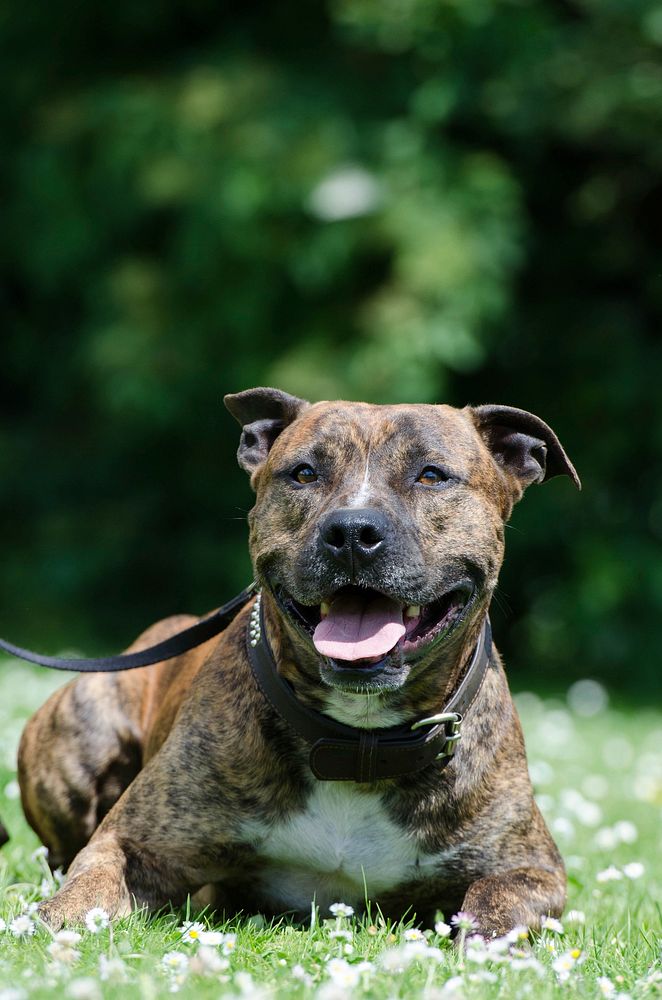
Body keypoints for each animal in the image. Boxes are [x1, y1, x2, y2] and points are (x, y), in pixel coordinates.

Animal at [16, 386, 580, 932]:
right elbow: (84, 891)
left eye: (431, 475)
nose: (353, 531)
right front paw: (48, 923)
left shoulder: (532, 868)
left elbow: (493, 905)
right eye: (304, 472)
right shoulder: (132, 844)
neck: (359, 744)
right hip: (80, 740)